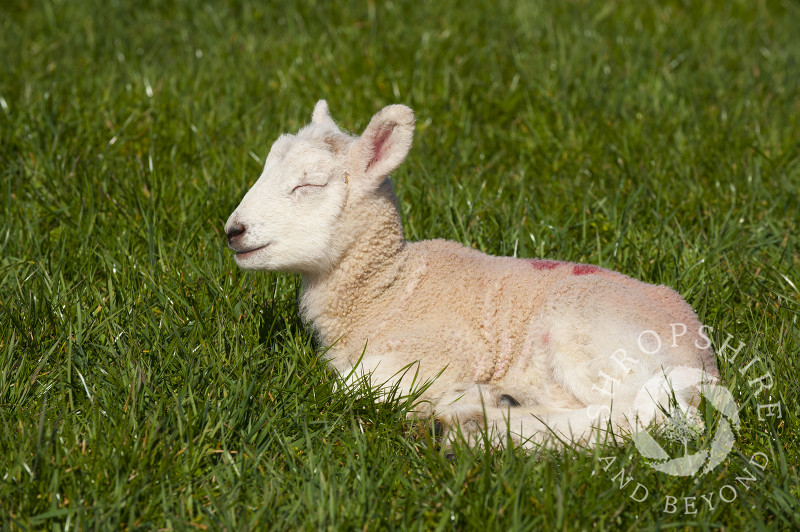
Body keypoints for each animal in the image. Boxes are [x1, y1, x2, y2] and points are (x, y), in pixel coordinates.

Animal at [223, 101, 720, 448]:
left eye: (308, 185)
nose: (232, 231)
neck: (390, 289)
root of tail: (704, 360)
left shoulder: (441, 351)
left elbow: (350, 387)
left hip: (592, 340)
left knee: (642, 416)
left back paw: (485, 430)